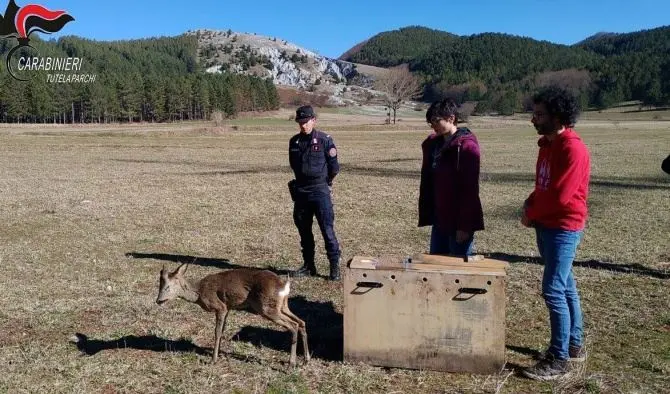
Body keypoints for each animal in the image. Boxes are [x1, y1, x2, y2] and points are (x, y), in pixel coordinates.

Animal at [158, 264, 312, 368]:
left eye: (168, 287)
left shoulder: (220, 307)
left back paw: (291, 364)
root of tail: (284, 285)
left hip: (267, 308)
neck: (199, 293)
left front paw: (213, 360)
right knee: (301, 322)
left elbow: (217, 332)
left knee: (293, 325)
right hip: (282, 306)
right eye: (159, 285)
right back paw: (306, 360)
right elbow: (222, 331)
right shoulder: (228, 307)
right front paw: (218, 353)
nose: (158, 300)